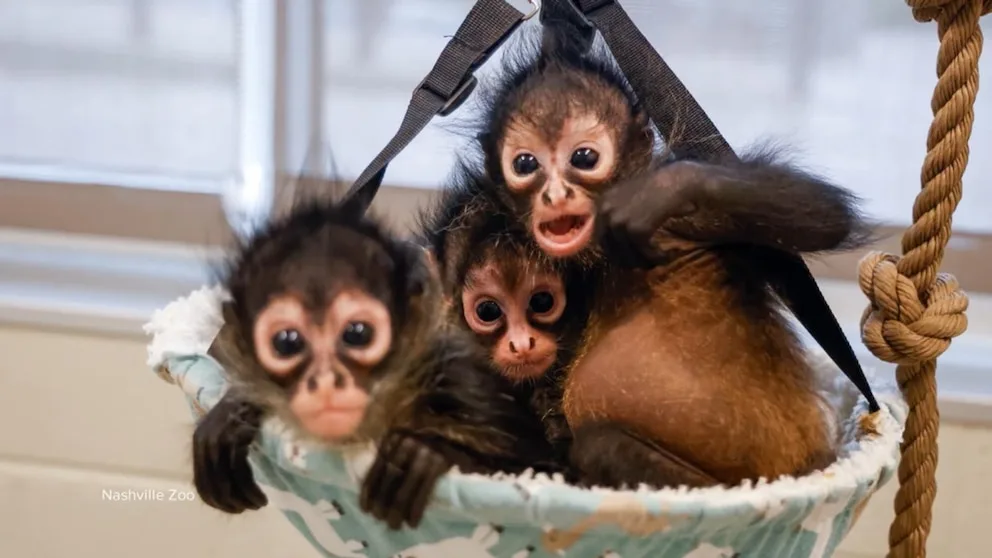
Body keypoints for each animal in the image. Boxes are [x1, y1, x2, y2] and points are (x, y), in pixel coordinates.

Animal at [190, 190, 563, 529]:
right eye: (286, 342)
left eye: (358, 333)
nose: (326, 383)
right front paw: (229, 415)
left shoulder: (459, 386)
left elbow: (545, 469)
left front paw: (427, 453)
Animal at [452, 23, 876, 490]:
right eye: (526, 164)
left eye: (584, 157)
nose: (555, 195)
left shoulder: (679, 224)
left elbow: (828, 218)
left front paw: (662, 188)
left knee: (598, 445)